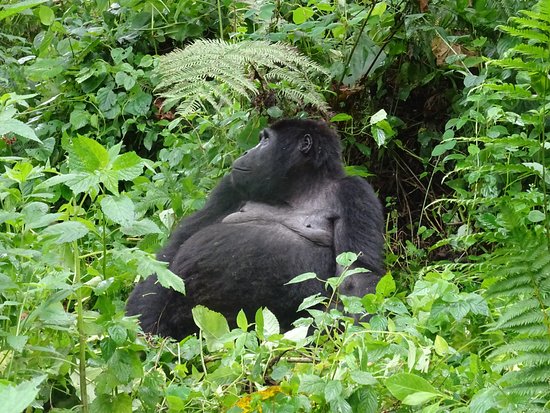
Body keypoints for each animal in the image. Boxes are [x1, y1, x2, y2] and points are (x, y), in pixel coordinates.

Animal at [126, 117, 384, 340]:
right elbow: (173, 251)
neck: (299, 190)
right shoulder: (231, 185)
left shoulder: (355, 192)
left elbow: (355, 276)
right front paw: (143, 323)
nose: (246, 152)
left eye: (266, 140)